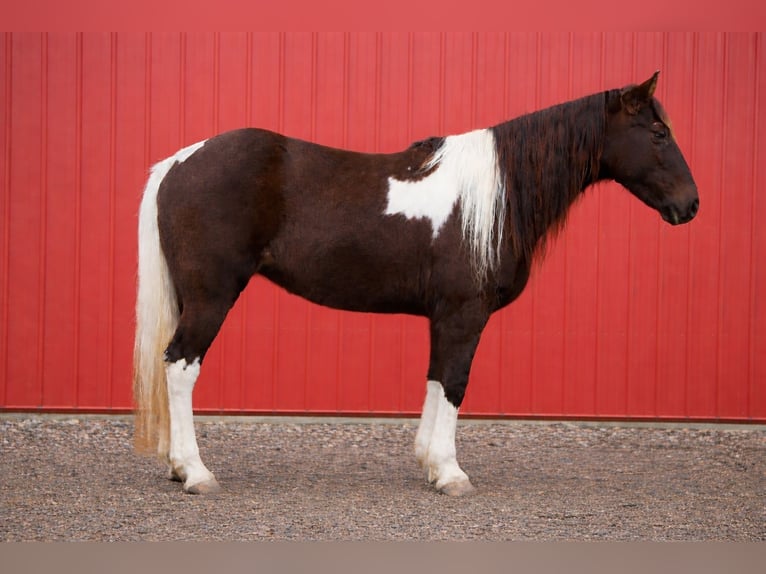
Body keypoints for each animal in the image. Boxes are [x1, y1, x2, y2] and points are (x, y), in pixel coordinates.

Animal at [133, 71, 698, 496]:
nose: (690, 205)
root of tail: (179, 162)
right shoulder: (464, 313)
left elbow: (434, 380)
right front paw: (450, 473)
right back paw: (196, 473)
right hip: (212, 296)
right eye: (657, 133)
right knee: (180, 366)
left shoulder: (443, 315)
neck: (494, 196)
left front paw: (429, 462)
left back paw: (178, 468)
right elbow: (454, 383)